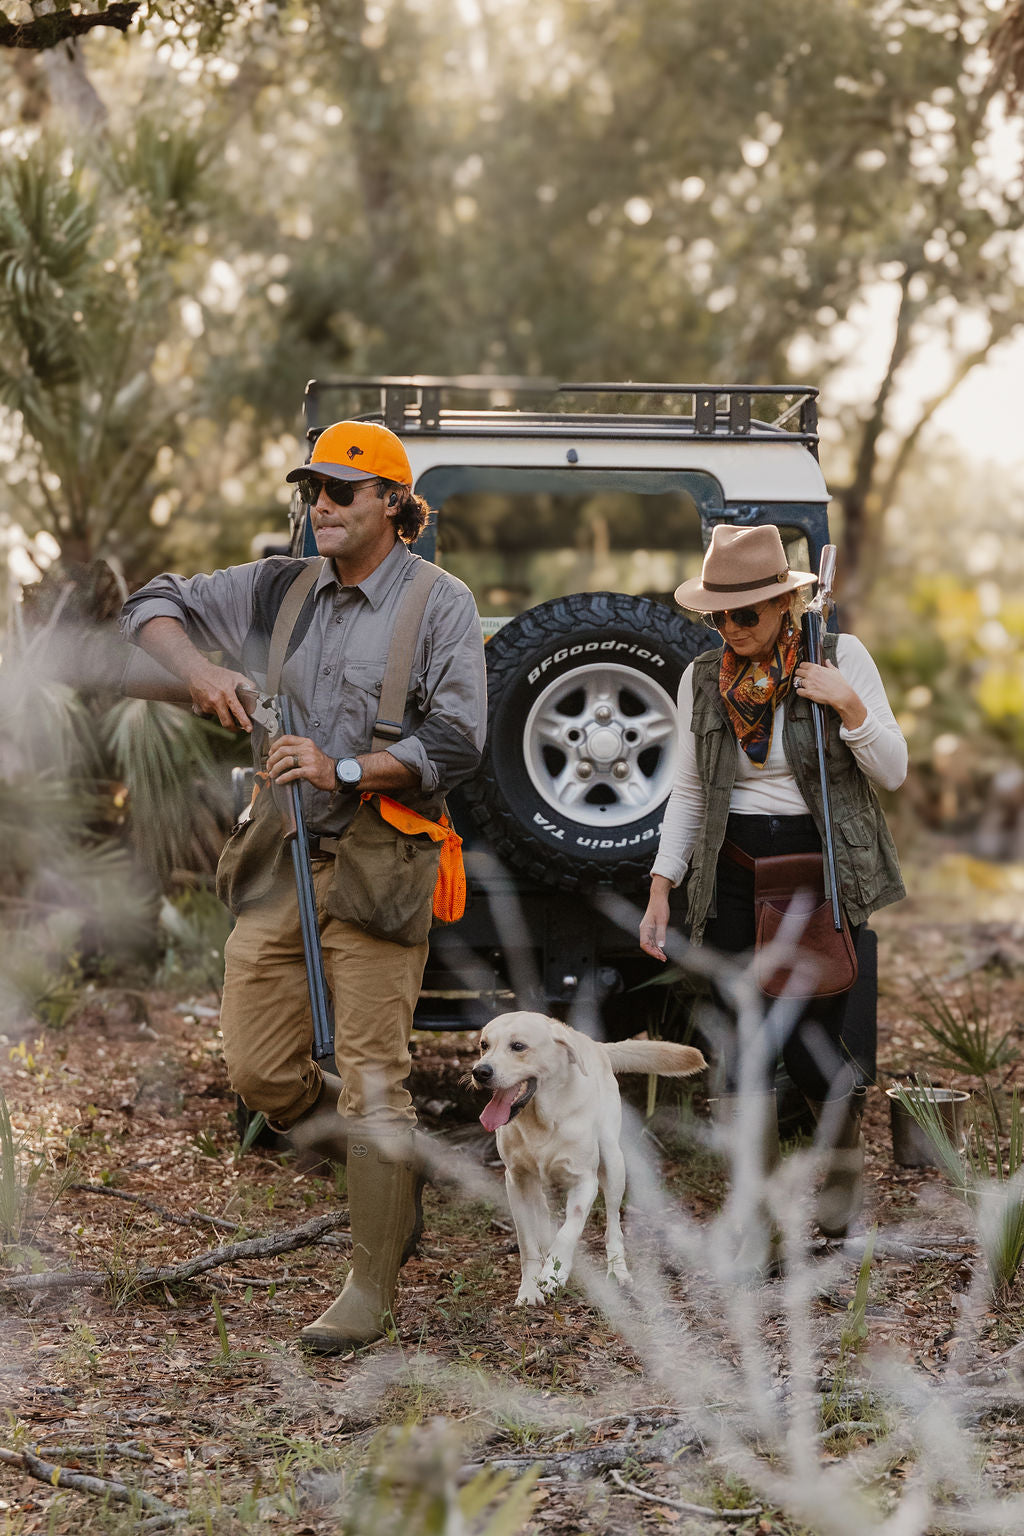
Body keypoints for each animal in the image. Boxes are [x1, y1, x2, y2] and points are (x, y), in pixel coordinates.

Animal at [472, 1013, 706, 1302]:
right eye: (484, 1045)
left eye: (518, 1046)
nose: (480, 1072)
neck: (542, 1119)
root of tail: (594, 1044)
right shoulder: (516, 1181)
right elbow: (527, 1244)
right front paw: (529, 1289)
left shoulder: (585, 1181)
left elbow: (568, 1231)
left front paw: (554, 1272)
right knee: (543, 1214)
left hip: (614, 1165)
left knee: (613, 1227)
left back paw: (618, 1271)